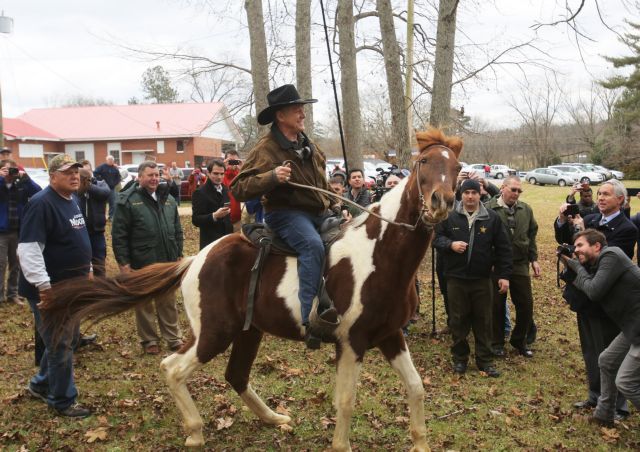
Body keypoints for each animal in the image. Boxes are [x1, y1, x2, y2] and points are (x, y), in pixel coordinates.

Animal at [45, 128, 462, 452]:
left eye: (456, 167)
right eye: (424, 163)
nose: (440, 202)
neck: (379, 254)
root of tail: (195, 259)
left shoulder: (390, 335)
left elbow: (416, 387)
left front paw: (420, 443)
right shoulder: (351, 342)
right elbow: (345, 401)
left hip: (247, 331)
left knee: (236, 375)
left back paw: (274, 418)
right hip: (214, 333)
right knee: (173, 368)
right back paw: (195, 432)